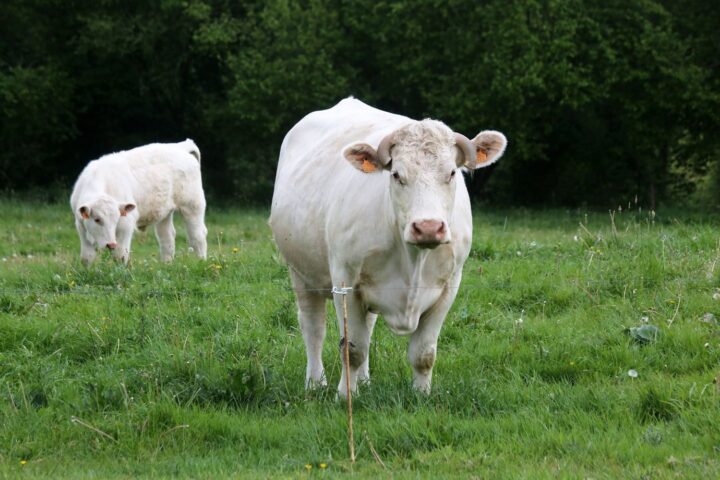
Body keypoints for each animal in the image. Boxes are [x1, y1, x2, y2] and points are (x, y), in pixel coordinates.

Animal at [70, 139, 208, 265]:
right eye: (97, 219)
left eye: (116, 219)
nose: (111, 244)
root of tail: (181, 146)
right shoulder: (80, 225)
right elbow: (87, 257)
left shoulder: (126, 223)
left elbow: (120, 255)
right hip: (165, 212)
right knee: (167, 237)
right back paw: (166, 265)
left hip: (192, 205)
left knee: (198, 236)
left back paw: (201, 262)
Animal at [269, 98, 506, 398]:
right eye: (396, 175)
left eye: (452, 173)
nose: (428, 227)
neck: (413, 260)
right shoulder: (345, 281)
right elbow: (352, 349)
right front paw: (345, 395)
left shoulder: (449, 286)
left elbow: (424, 353)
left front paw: (421, 394)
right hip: (300, 272)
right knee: (313, 327)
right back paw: (315, 382)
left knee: (367, 327)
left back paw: (365, 380)